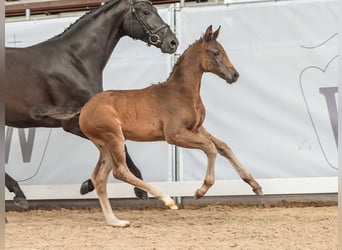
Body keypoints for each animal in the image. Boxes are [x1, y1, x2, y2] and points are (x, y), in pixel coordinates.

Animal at [5, 0, 179, 208]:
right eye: (145, 12)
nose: (172, 42)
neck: (74, 61)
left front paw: (88, 184)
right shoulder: (72, 123)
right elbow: (120, 146)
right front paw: (139, 189)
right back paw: (18, 194)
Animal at [41, 25, 264, 227]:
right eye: (216, 52)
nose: (235, 75)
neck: (182, 92)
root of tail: (84, 108)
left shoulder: (197, 129)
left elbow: (224, 147)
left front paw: (255, 185)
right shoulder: (174, 135)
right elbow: (210, 148)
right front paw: (201, 191)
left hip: (105, 146)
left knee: (99, 178)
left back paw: (116, 221)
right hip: (114, 138)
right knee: (120, 172)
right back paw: (167, 200)